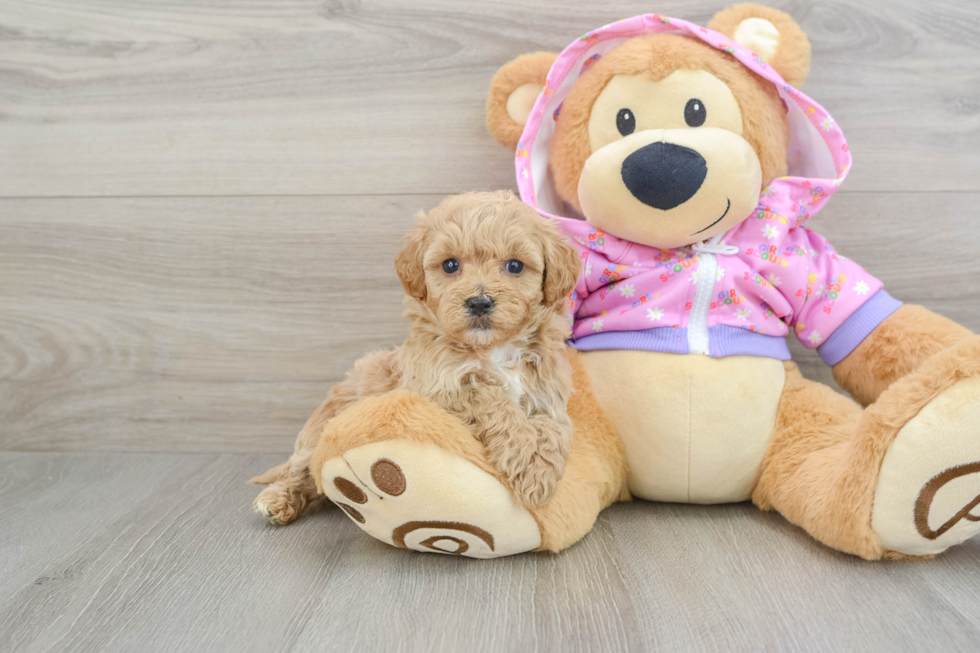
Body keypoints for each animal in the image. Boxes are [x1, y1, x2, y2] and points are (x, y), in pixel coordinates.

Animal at [253, 190, 584, 524]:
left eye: (515, 266)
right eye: (450, 265)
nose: (479, 302)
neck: (493, 348)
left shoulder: (547, 395)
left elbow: (554, 429)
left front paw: (537, 471)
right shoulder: (434, 390)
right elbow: (487, 394)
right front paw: (524, 456)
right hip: (318, 433)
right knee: (300, 470)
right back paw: (276, 500)